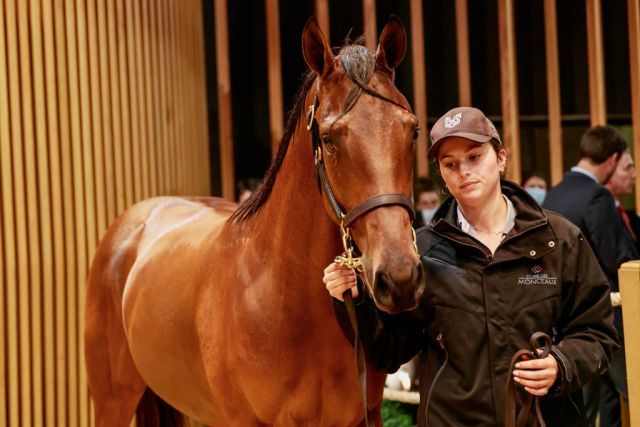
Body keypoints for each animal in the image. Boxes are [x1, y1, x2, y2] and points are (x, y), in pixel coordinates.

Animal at [86, 17, 424, 427]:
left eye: (412, 130)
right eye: (329, 139)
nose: (400, 277)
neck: (278, 291)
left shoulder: (364, 415)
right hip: (112, 401)